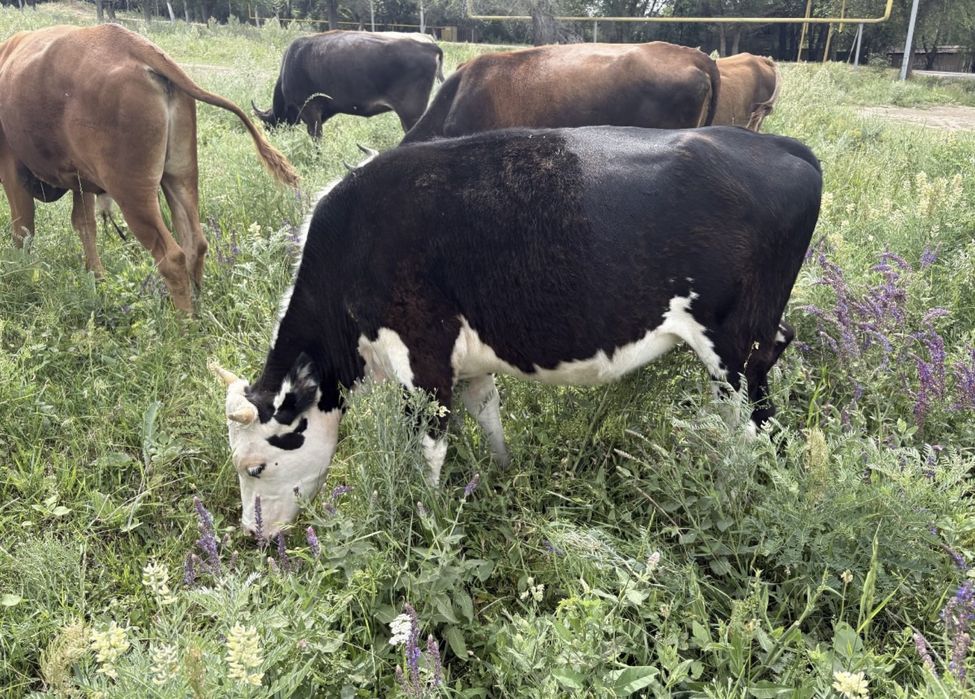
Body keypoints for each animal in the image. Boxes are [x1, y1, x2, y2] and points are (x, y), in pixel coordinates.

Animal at [0, 24, 298, 313]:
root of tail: (134, 45)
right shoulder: (80, 180)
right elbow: (84, 225)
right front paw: (97, 278)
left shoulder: (11, 168)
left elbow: (23, 228)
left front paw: (24, 275)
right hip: (180, 175)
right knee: (195, 243)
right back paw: (198, 307)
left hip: (132, 192)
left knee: (172, 256)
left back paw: (185, 322)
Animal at [211, 125, 822, 537]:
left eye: (254, 465)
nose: (252, 534)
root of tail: (784, 147)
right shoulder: (466, 362)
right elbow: (488, 416)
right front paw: (503, 475)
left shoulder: (423, 360)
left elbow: (428, 449)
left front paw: (427, 519)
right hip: (754, 342)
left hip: (735, 347)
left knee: (758, 427)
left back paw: (729, 498)